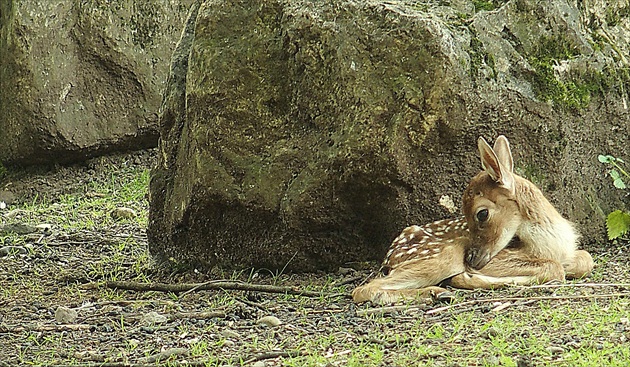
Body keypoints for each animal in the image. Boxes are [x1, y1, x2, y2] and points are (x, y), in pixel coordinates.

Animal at [356, 135, 596, 304]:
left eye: (482, 213)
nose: (470, 260)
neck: (551, 243)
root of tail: (389, 256)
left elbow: (585, 260)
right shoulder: (500, 258)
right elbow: (555, 269)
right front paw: (468, 279)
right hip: (443, 255)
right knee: (362, 289)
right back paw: (437, 293)